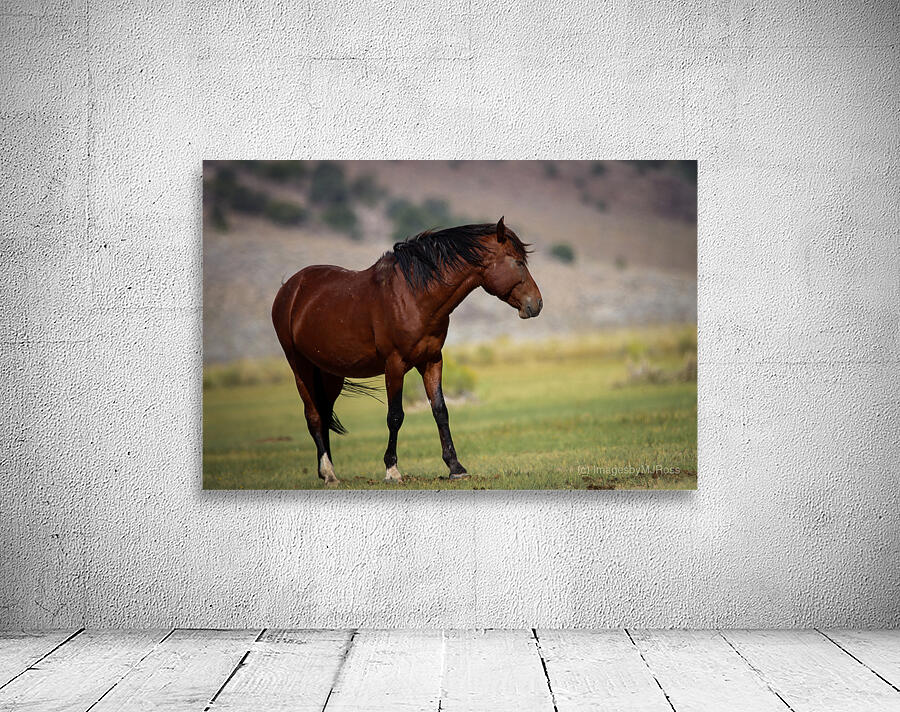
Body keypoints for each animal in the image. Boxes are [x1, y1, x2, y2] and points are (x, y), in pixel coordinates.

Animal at [271, 217, 542, 485]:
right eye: (518, 262)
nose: (537, 304)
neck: (413, 296)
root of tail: (289, 288)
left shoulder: (432, 360)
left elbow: (440, 411)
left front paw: (456, 467)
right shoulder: (394, 364)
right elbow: (395, 416)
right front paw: (392, 470)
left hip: (330, 373)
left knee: (324, 413)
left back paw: (329, 472)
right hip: (300, 366)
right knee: (314, 416)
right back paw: (328, 473)